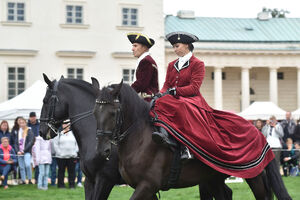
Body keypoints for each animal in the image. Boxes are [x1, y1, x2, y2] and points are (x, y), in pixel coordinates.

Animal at [94, 81, 292, 200]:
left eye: (113, 113)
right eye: (95, 112)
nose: (102, 151)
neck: (140, 140)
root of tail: (257, 131)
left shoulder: (147, 186)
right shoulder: (145, 188)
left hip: (253, 176)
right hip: (214, 178)